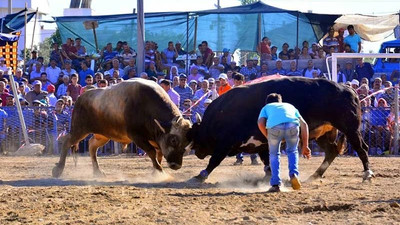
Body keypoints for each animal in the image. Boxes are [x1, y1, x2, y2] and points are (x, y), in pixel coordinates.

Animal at [189, 76, 374, 182]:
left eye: (196, 136)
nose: (196, 151)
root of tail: (349, 89)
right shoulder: (262, 143)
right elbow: (267, 161)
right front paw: (268, 175)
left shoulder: (225, 143)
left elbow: (215, 160)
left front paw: (201, 175)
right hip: (324, 133)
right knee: (331, 151)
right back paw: (316, 174)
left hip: (351, 129)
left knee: (362, 148)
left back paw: (367, 173)